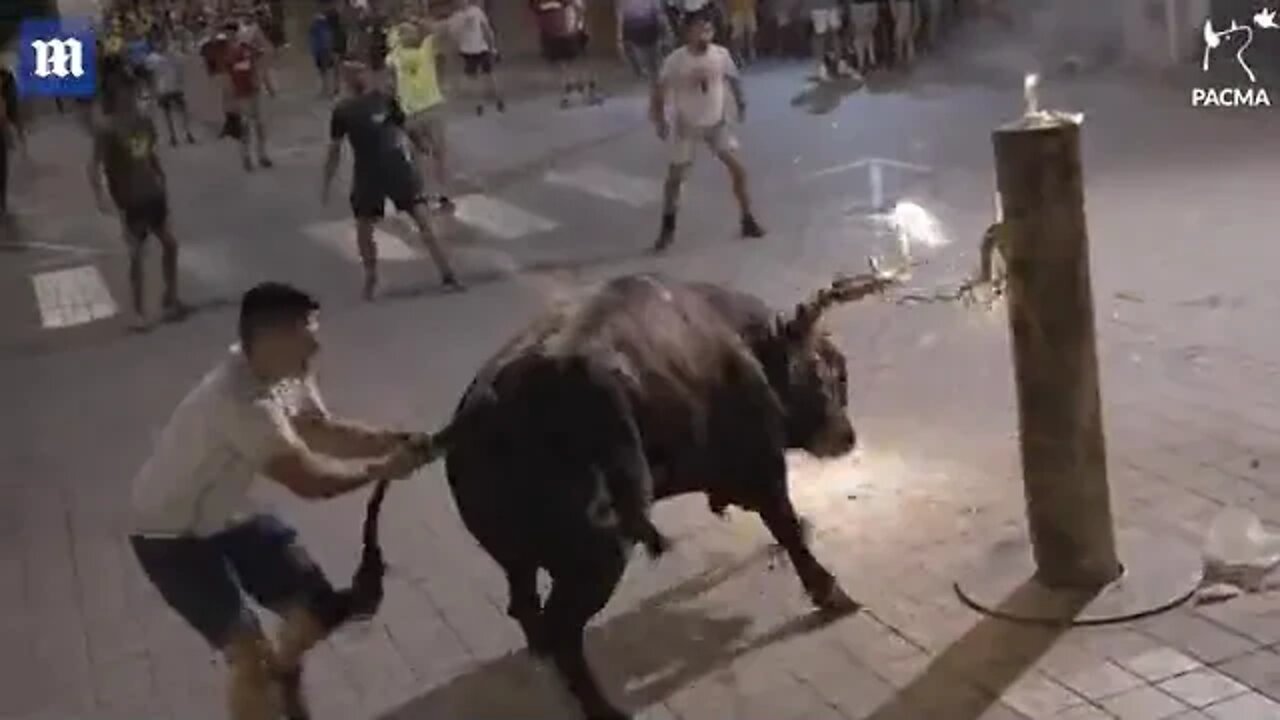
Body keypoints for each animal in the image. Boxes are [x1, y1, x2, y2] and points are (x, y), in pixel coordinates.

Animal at [345, 270, 896, 717]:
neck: (740, 341)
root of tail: (482, 412)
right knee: (564, 630)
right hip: (597, 558)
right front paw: (831, 593)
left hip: (519, 556)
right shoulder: (762, 467)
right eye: (826, 371)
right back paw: (602, 709)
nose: (846, 436)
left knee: (527, 609)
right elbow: (787, 527)